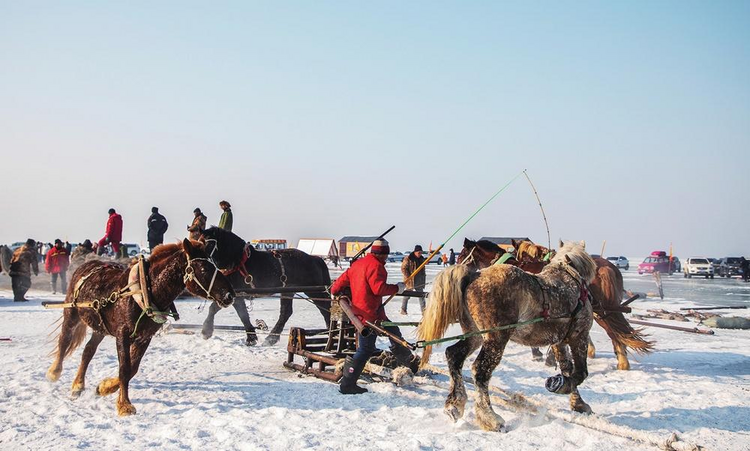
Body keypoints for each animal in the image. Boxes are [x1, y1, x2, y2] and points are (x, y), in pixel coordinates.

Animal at [47, 240, 235, 416]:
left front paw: (105, 387)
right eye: (204, 268)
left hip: (100, 327)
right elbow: (124, 369)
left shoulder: (145, 337)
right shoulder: (122, 334)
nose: (230, 295)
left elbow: (132, 369)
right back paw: (54, 372)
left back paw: (78, 385)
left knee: (88, 351)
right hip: (71, 313)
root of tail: (86, 265)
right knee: (64, 340)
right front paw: (124, 405)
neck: (146, 291)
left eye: (215, 265)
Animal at [200, 228, 332, 348]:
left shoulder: (235, 294)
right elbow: (219, 309)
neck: (236, 261)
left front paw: (206, 331)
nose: (201, 263)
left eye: (210, 243)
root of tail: (315, 258)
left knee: (326, 308)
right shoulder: (230, 294)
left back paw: (330, 334)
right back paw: (271, 338)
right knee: (286, 312)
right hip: (288, 291)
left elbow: (238, 314)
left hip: (313, 291)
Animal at [420, 242, 604, 432]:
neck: (571, 280)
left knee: (454, 356)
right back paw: (490, 417)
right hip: (497, 337)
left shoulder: (558, 341)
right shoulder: (579, 336)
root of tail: (474, 275)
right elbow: (580, 372)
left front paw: (575, 401)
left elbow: (567, 368)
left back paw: (455, 404)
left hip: (475, 335)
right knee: (480, 371)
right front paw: (565, 387)